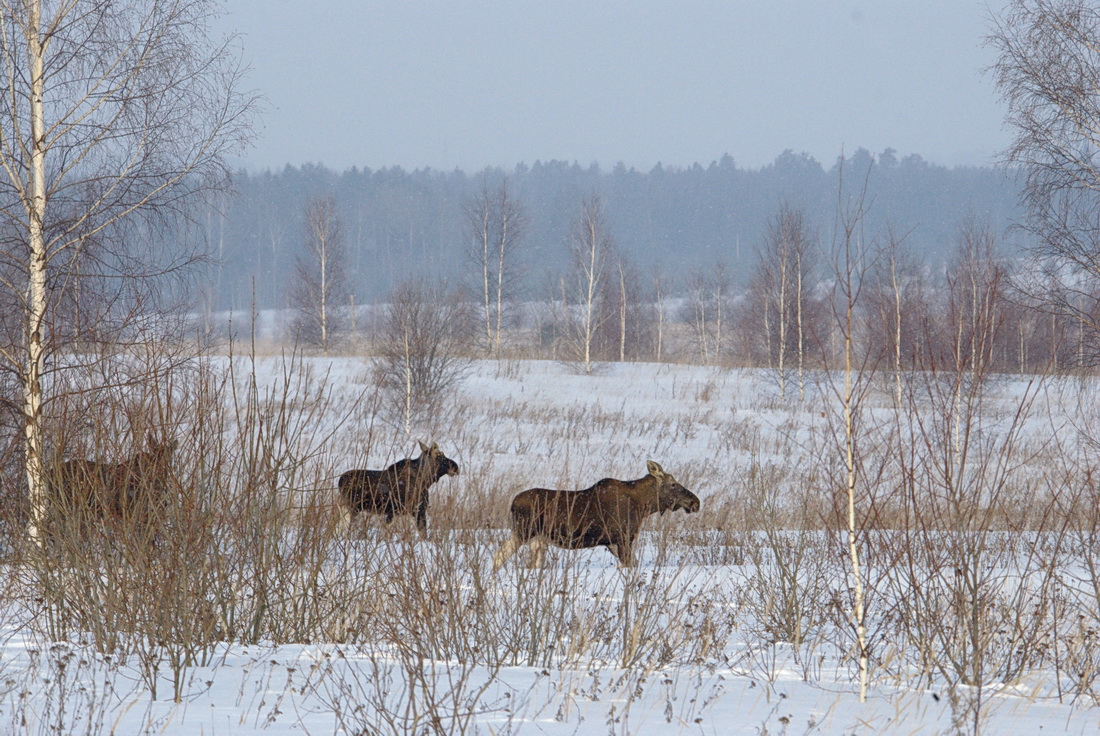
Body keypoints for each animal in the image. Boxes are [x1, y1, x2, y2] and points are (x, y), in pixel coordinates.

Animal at [495, 459, 699, 567]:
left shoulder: (612, 543)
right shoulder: (622, 538)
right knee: (498, 556)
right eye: (673, 484)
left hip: (538, 539)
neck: (644, 506)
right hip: (524, 531)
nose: (695, 502)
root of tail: (512, 504)